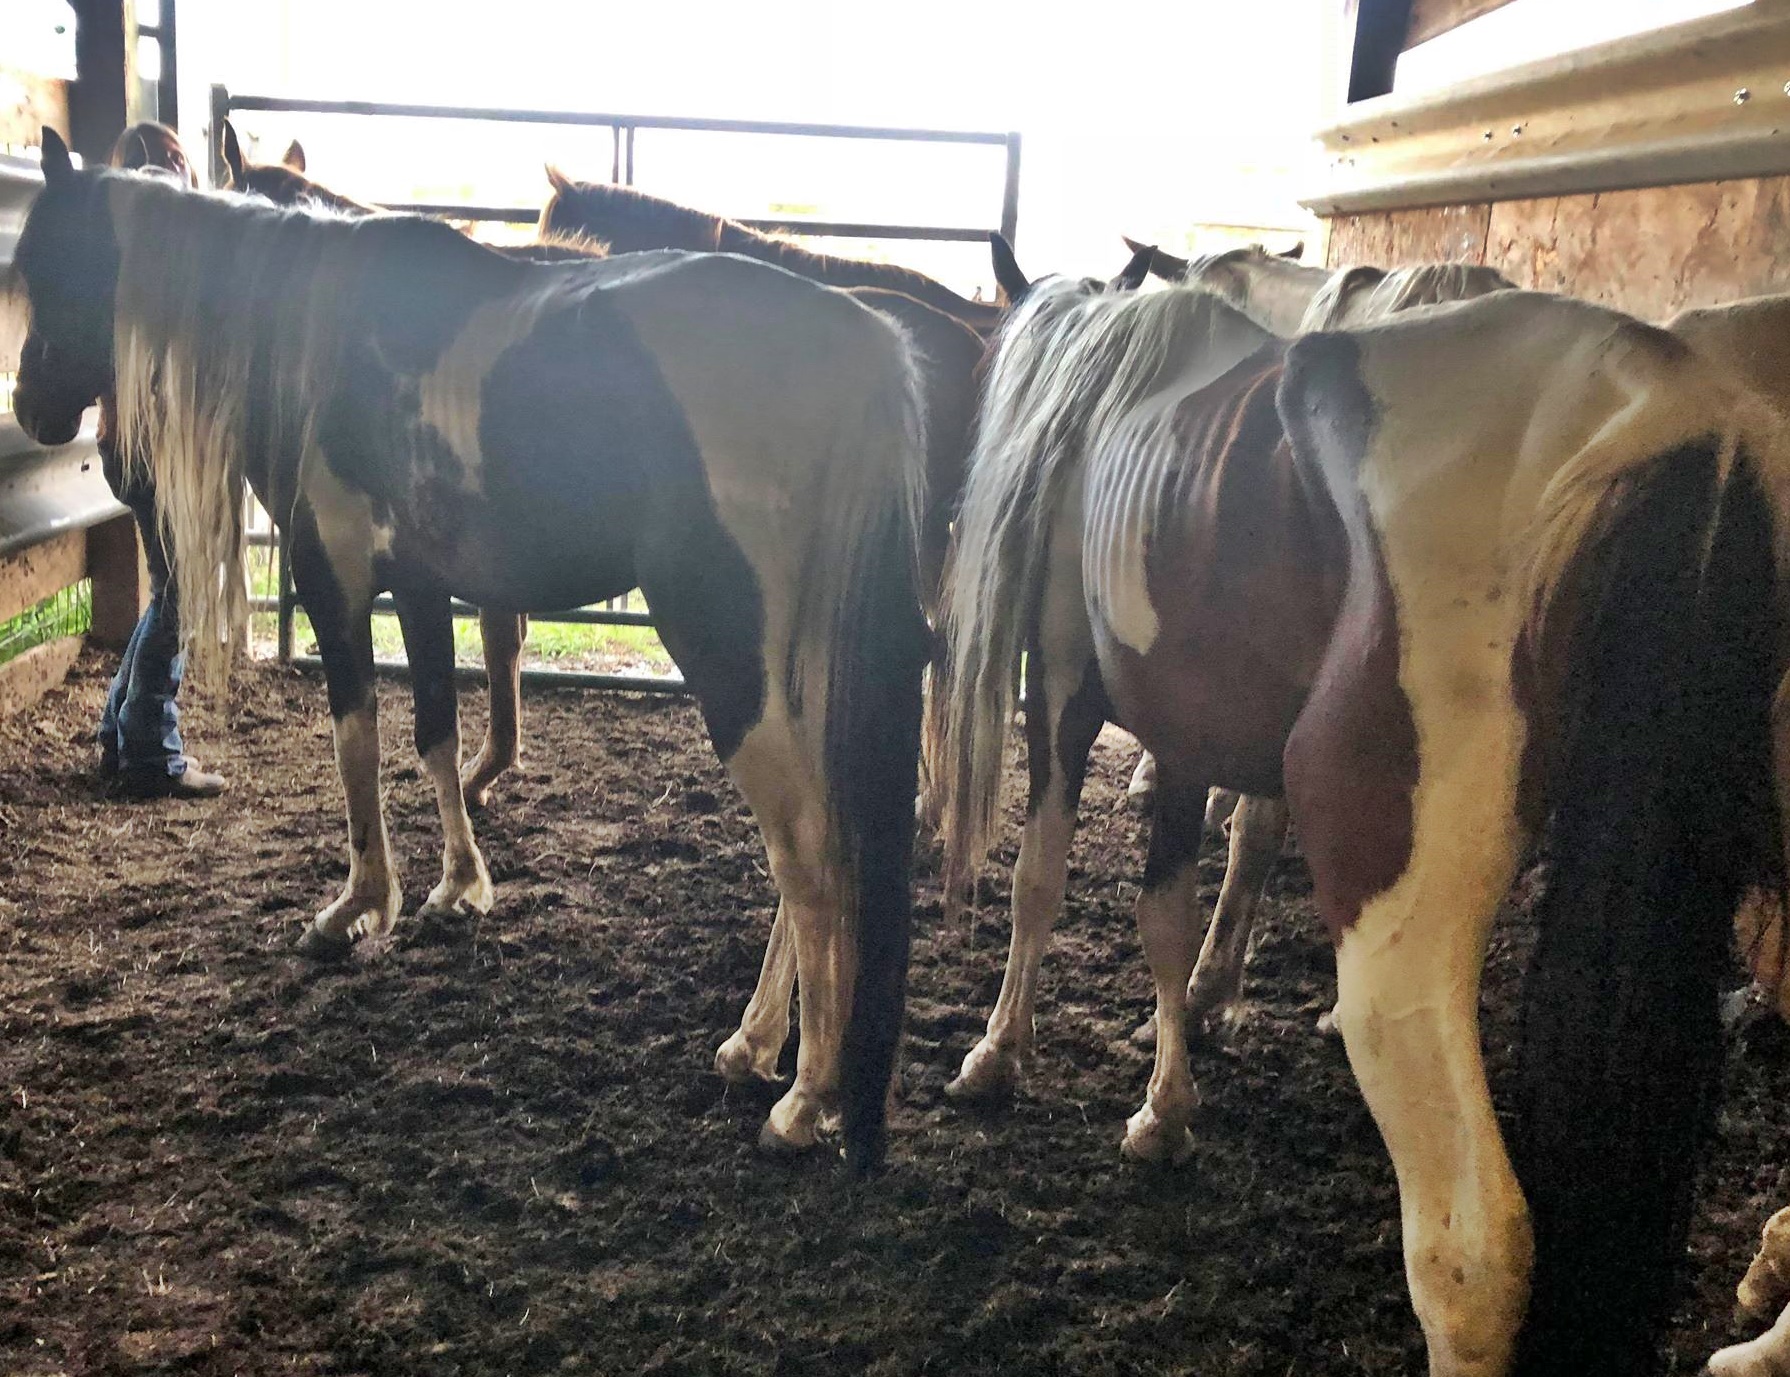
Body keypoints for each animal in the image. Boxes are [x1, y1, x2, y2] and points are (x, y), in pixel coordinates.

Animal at [14, 127, 930, 1169]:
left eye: (54, 266)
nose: (35, 414)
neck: (312, 332)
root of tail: (859, 344)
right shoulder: (417, 588)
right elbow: (436, 736)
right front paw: (458, 886)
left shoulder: (333, 583)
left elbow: (357, 744)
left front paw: (358, 906)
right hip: (797, 674)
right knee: (815, 848)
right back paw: (755, 1045)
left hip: (730, 656)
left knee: (806, 854)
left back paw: (805, 1098)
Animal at [931, 279, 1790, 1375]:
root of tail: (1672, 423)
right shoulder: (1185, 732)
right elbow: (1164, 918)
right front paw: (1165, 1103)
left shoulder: (1062, 690)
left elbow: (1037, 884)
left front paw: (997, 1055)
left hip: (1395, 933)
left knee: (1473, 1256)